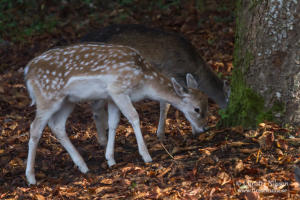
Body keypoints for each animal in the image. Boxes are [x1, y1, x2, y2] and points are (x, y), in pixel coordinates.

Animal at [24, 43, 209, 184]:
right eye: (197, 109)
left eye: (206, 104)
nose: (204, 129)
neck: (144, 80)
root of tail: (27, 72)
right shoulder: (118, 89)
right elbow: (134, 116)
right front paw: (146, 156)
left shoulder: (111, 97)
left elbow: (113, 123)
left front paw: (110, 159)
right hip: (48, 97)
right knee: (35, 128)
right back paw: (31, 177)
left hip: (67, 101)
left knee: (57, 125)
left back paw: (83, 166)